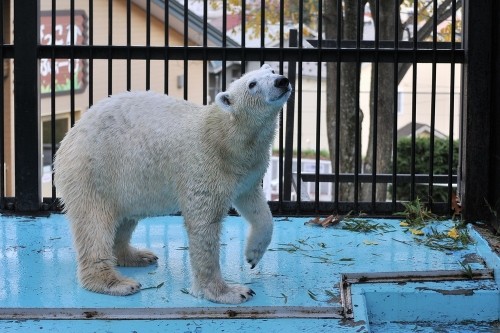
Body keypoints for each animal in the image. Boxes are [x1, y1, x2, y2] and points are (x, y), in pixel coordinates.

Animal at [52, 64, 292, 304]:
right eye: (252, 84)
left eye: (272, 71)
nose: (282, 81)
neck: (227, 137)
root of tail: (68, 138)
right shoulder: (205, 163)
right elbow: (203, 224)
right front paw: (229, 291)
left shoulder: (247, 168)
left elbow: (256, 206)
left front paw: (253, 255)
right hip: (94, 171)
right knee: (95, 225)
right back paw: (116, 282)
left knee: (124, 219)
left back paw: (137, 255)